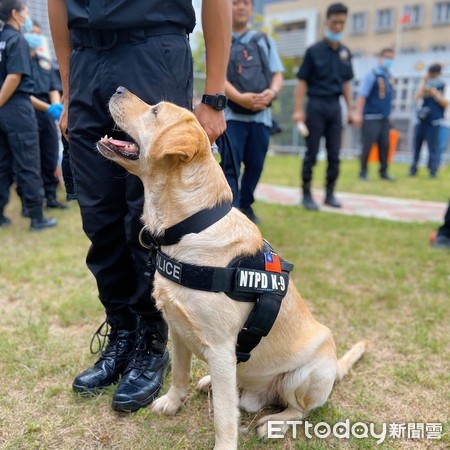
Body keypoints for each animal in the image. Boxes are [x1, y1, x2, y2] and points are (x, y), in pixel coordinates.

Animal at [97, 89, 366, 450]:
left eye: (154, 111)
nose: (117, 89)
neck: (190, 226)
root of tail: (334, 367)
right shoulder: (178, 329)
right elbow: (179, 374)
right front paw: (172, 402)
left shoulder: (222, 347)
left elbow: (225, 415)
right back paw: (209, 382)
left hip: (303, 375)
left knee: (300, 409)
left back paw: (275, 423)